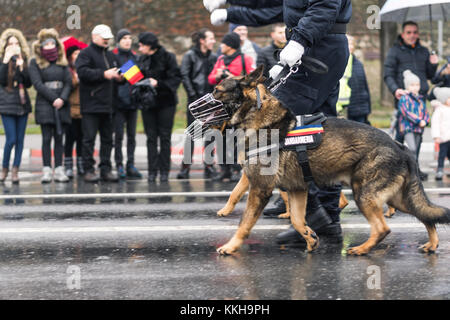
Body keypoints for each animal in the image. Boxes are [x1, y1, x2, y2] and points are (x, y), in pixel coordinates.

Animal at [210, 66, 450, 256]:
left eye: (217, 90)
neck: (256, 113)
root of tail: (400, 147)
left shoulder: (259, 189)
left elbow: (244, 223)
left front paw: (231, 246)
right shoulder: (297, 189)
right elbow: (297, 220)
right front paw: (309, 237)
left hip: (364, 194)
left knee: (383, 228)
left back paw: (362, 249)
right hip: (398, 198)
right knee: (426, 216)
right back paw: (432, 244)